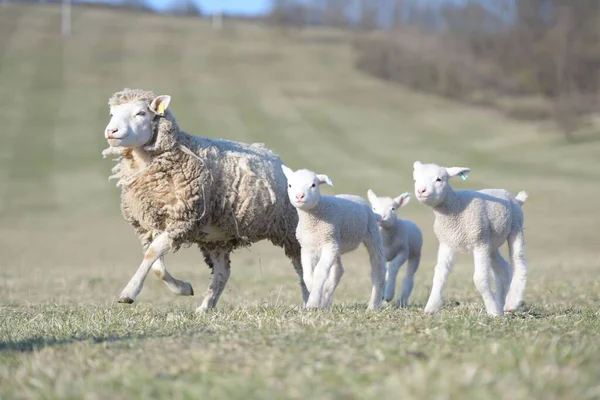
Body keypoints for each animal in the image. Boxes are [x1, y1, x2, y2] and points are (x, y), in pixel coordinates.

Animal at [101, 87, 308, 312]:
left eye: (141, 113)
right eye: (111, 114)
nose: (111, 131)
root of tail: (274, 155)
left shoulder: (182, 220)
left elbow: (152, 253)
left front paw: (128, 293)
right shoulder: (150, 225)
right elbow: (156, 263)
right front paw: (183, 288)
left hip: (288, 226)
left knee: (302, 263)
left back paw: (310, 300)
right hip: (217, 238)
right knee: (222, 273)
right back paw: (205, 307)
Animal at [280, 165, 384, 310]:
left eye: (313, 185)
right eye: (290, 185)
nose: (299, 196)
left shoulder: (329, 244)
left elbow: (320, 271)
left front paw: (313, 302)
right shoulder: (307, 247)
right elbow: (307, 273)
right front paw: (313, 292)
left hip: (372, 233)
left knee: (378, 267)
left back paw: (373, 305)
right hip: (338, 244)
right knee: (338, 271)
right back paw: (326, 300)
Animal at [412, 161, 528, 318]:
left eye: (439, 179)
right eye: (415, 180)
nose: (421, 191)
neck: (455, 206)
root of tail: (516, 199)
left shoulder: (479, 243)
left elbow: (479, 279)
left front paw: (492, 310)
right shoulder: (447, 243)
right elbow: (440, 274)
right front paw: (432, 307)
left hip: (515, 227)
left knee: (519, 262)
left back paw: (512, 303)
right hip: (490, 242)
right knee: (502, 268)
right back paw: (500, 303)